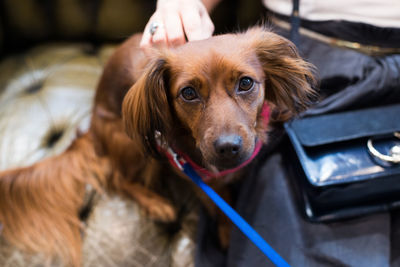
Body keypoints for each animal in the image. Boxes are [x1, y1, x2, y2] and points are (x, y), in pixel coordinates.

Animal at [0, 26, 316, 266]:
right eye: (188, 93)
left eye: (246, 83)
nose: (227, 148)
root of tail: (92, 130)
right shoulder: (190, 175)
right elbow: (218, 207)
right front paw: (226, 230)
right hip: (130, 138)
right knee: (117, 178)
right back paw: (156, 204)